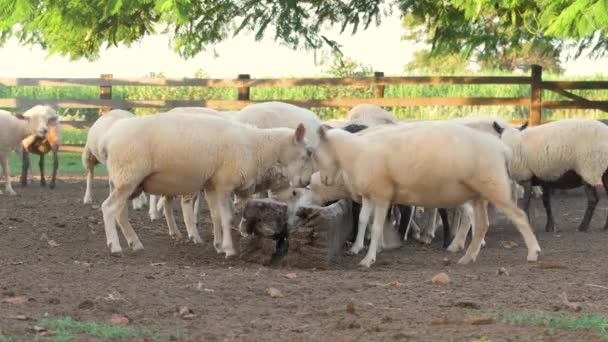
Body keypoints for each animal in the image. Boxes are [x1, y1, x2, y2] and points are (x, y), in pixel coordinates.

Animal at [98, 112, 314, 256]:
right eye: (309, 152)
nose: (306, 181)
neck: (257, 147)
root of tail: (107, 138)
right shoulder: (225, 185)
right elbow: (227, 217)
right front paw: (229, 249)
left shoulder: (212, 185)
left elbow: (215, 216)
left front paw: (218, 245)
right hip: (128, 176)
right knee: (108, 208)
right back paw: (115, 247)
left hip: (125, 181)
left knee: (120, 213)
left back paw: (134, 243)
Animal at [314, 120, 540, 268]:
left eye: (315, 154)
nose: (324, 180)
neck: (356, 153)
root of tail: (501, 148)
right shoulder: (370, 195)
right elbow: (362, 220)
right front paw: (361, 247)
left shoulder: (382, 195)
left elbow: (376, 227)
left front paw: (369, 258)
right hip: (479, 194)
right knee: (482, 224)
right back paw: (467, 257)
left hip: (496, 188)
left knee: (519, 216)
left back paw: (533, 252)